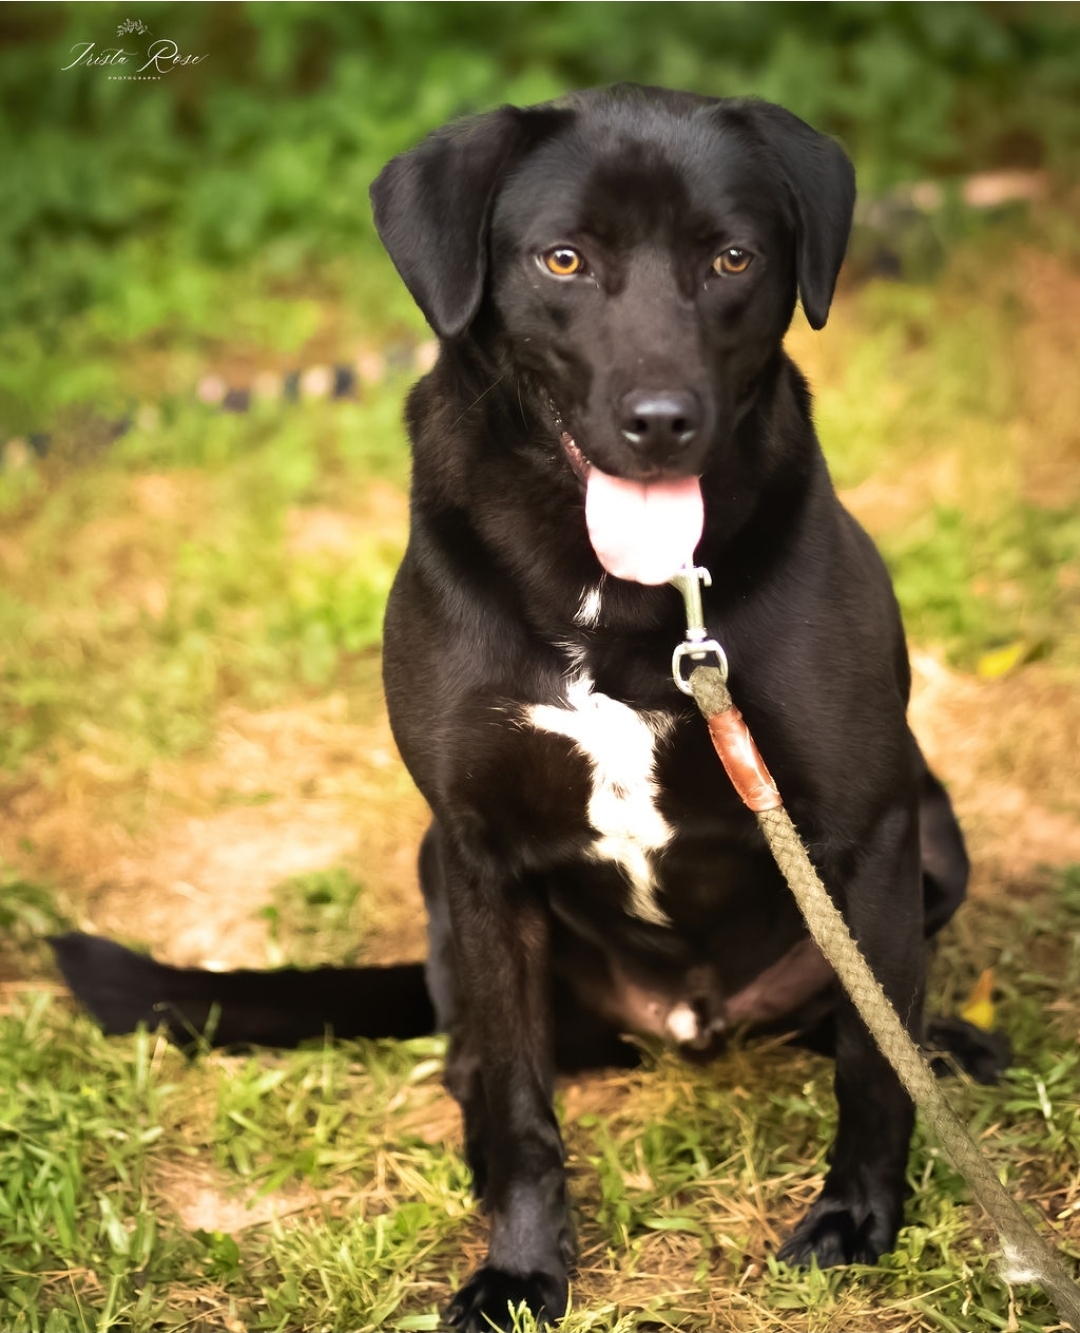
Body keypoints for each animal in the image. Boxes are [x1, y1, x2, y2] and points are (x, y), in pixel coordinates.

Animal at [52, 88, 1002, 1327]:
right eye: (564, 259)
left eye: (732, 257)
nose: (662, 420)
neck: (616, 595)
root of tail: (688, 1025)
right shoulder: (478, 851)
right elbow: (515, 1099)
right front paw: (520, 1268)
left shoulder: (863, 824)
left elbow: (869, 1062)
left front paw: (858, 1216)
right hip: (438, 881)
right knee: (478, 1058)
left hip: (936, 833)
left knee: (852, 1011)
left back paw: (946, 1043)